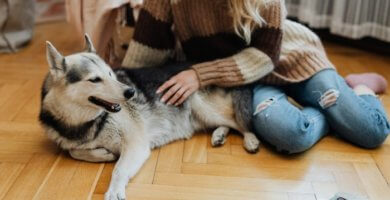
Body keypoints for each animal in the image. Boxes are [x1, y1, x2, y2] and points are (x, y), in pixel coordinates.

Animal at [39, 34, 260, 200]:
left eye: (110, 74)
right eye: (94, 80)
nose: (131, 92)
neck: (86, 123)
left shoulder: (136, 145)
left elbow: (118, 170)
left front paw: (114, 190)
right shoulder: (72, 141)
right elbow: (73, 151)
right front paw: (102, 154)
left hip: (204, 107)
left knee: (239, 123)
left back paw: (250, 139)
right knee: (226, 124)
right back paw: (219, 135)